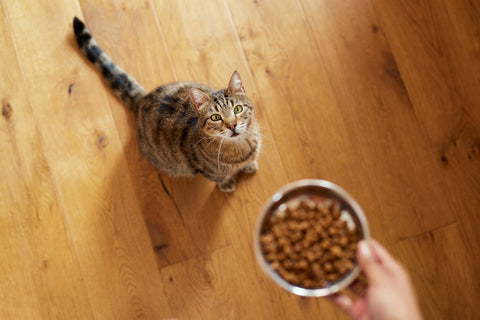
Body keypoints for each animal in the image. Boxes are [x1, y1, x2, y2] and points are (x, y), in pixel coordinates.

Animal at [73, 16, 260, 192]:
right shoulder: (205, 169)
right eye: (215, 117)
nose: (232, 125)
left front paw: (250, 165)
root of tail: (143, 98)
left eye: (237, 109)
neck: (241, 146)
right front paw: (227, 183)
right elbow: (220, 177)